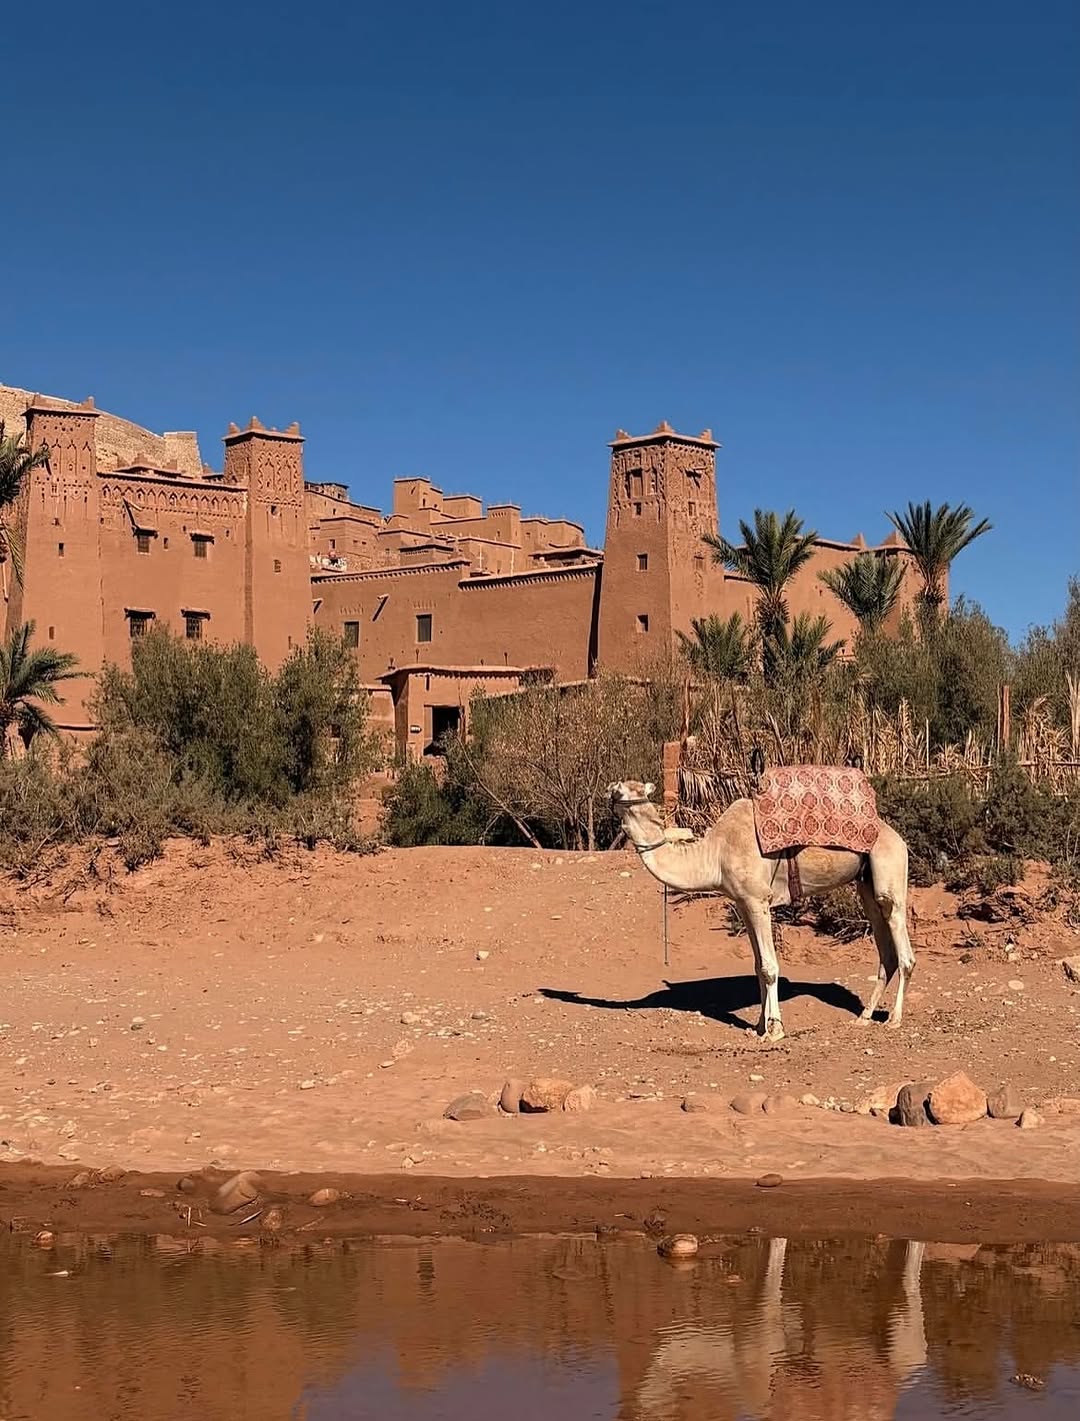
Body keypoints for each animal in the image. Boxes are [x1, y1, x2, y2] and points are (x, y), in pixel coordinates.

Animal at [609, 779, 915, 1040]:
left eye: (623, 790)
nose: (610, 789)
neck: (715, 855)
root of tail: (898, 836)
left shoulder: (758, 900)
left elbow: (769, 966)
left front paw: (775, 1029)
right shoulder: (743, 903)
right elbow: (757, 966)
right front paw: (758, 1025)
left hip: (889, 868)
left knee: (901, 939)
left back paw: (895, 1018)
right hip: (865, 884)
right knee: (884, 946)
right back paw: (864, 1017)